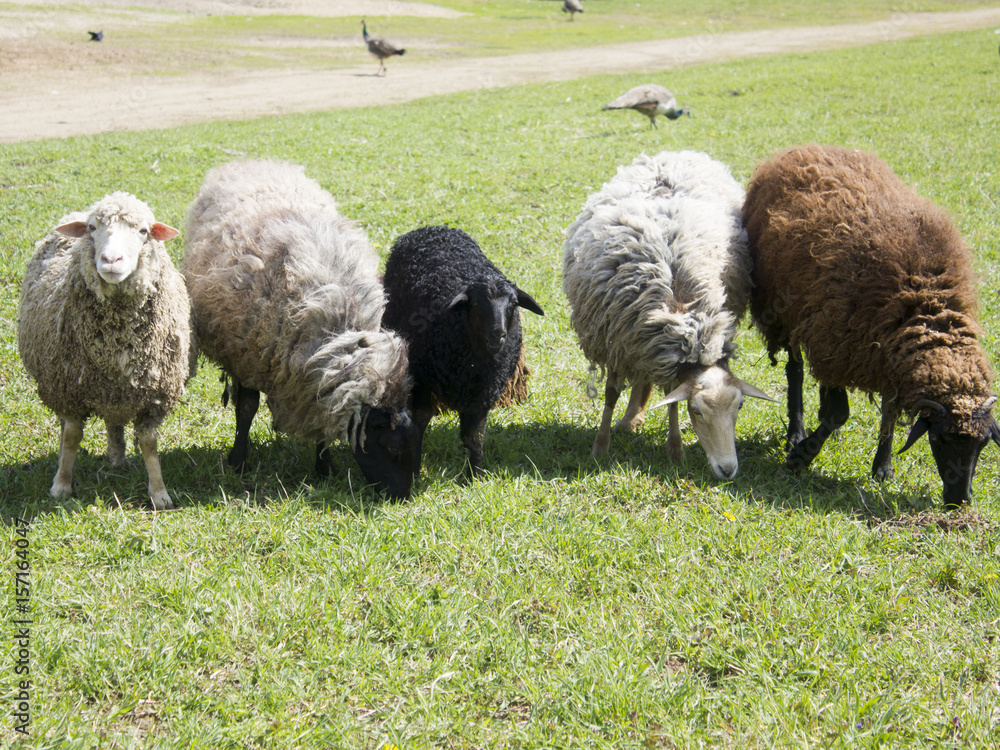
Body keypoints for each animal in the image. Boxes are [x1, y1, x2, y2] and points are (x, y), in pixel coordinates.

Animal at [18, 192, 193, 510]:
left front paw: (159, 493)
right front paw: (61, 485)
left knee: (114, 422)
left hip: (117, 391)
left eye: (143, 231)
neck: (115, 342)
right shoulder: (69, 392)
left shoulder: (153, 395)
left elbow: (149, 444)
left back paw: (118, 458)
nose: (111, 260)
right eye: (91, 228)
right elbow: (72, 437)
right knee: (67, 428)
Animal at [182, 159, 420, 500]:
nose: (402, 497)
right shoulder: (248, 360)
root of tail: (254, 161)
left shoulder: (313, 384)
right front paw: (238, 461)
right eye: (391, 447)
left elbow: (323, 420)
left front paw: (323, 468)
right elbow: (246, 408)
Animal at [381, 226, 545, 480]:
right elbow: (420, 420)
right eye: (475, 304)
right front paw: (415, 470)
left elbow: (474, 436)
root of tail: (433, 227)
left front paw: (473, 476)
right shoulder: (422, 378)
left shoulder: (482, 394)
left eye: (513, 304)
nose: (497, 334)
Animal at [563, 150, 772, 479]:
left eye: (739, 407)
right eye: (697, 410)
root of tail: (675, 153)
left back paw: (633, 418)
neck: (679, 312)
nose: (728, 470)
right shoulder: (614, 342)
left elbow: (672, 399)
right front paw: (600, 446)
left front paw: (675, 450)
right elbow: (610, 393)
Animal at [743, 143, 999, 508]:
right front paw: (801, 457)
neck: (926, 304)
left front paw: (883, 467)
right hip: (785, 312)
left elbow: (889, 413)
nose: (959, 500)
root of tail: (805, 147)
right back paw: (796, 431)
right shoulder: (836, 343)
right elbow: (839, 413)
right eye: (939, 440)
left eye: (983, 444)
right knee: (795, 371)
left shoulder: (883, 358)